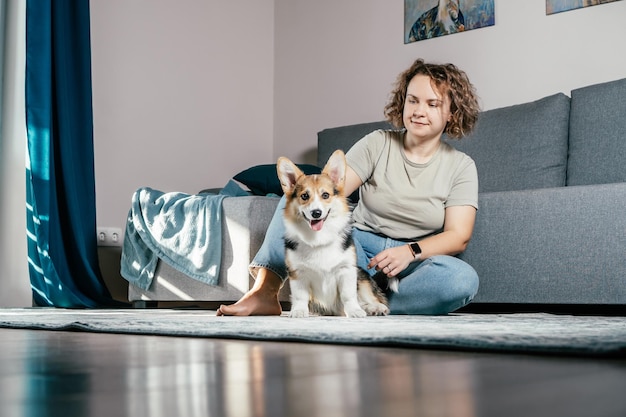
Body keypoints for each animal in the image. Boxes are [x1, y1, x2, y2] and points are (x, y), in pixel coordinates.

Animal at [276, 151, 388, 316]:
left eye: (325, 195)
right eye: (304, 196)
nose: (316, 213)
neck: (319, 238)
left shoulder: (347, 270)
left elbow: (349, 295)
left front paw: (355, 311)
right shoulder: (298, 273)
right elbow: (299, 296)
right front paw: (298, 312)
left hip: (361, 276)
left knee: (369, 297)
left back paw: (375, 308)